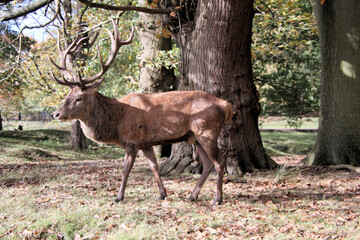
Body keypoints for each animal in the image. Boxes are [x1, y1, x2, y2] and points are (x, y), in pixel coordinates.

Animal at [50, 19, 233, 205]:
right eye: (67, 95)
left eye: (79, 98)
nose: (56, 114)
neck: (116, 122)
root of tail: (226, 105)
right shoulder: (145, 143)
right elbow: (154, 166)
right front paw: (162, 194)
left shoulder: (132, 141)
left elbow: (125, 170)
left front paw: (119, 197)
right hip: (195, 137)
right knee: (208, 164)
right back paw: (192, 195)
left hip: (207, 131)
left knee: (219, 161)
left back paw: (217, 199)